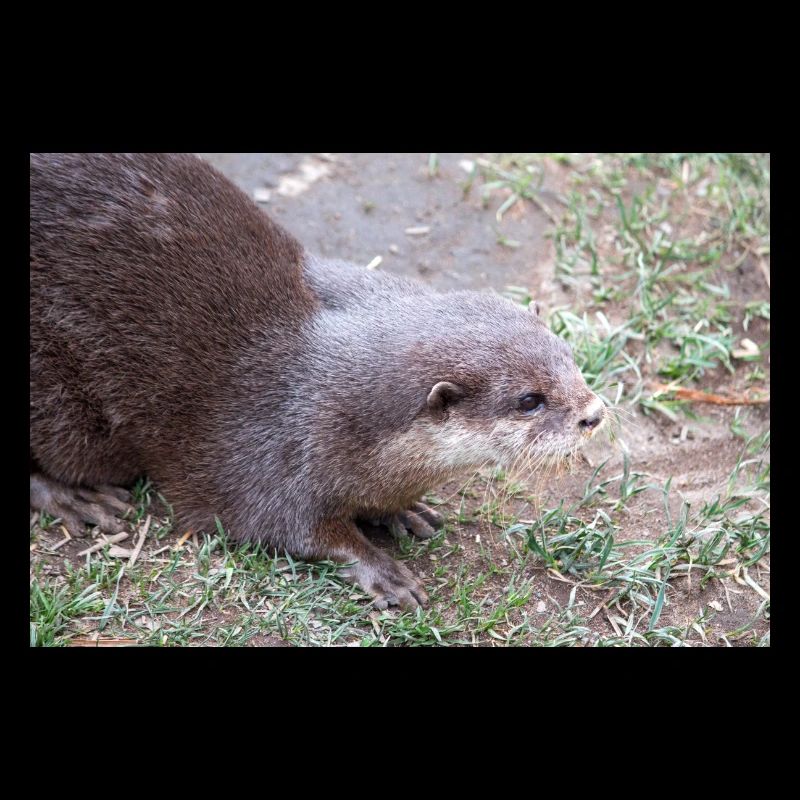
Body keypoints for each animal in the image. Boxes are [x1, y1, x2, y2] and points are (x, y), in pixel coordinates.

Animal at [30, 153, 605, 610]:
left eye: (569, 356)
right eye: (529, 400)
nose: (594, 413)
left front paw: (403, 510)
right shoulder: (267, 451)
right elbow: (286, 528)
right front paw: (381, 569)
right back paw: (74, 498)